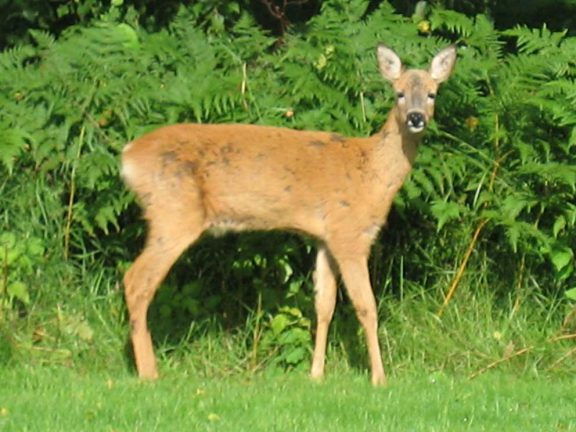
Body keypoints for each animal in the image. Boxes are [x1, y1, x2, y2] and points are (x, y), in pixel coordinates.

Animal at [124, 44, 456, 384]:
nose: (416, 118)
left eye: (432, 93)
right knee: (136, 280)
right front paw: (379, 378)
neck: (371, 175)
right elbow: (367, 306)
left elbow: (324, 305)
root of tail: (129, 156)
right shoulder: (349, 234)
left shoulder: (324, 239)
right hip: (173, 214)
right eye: (399, 93)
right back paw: (149, 372)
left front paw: (316, 373)